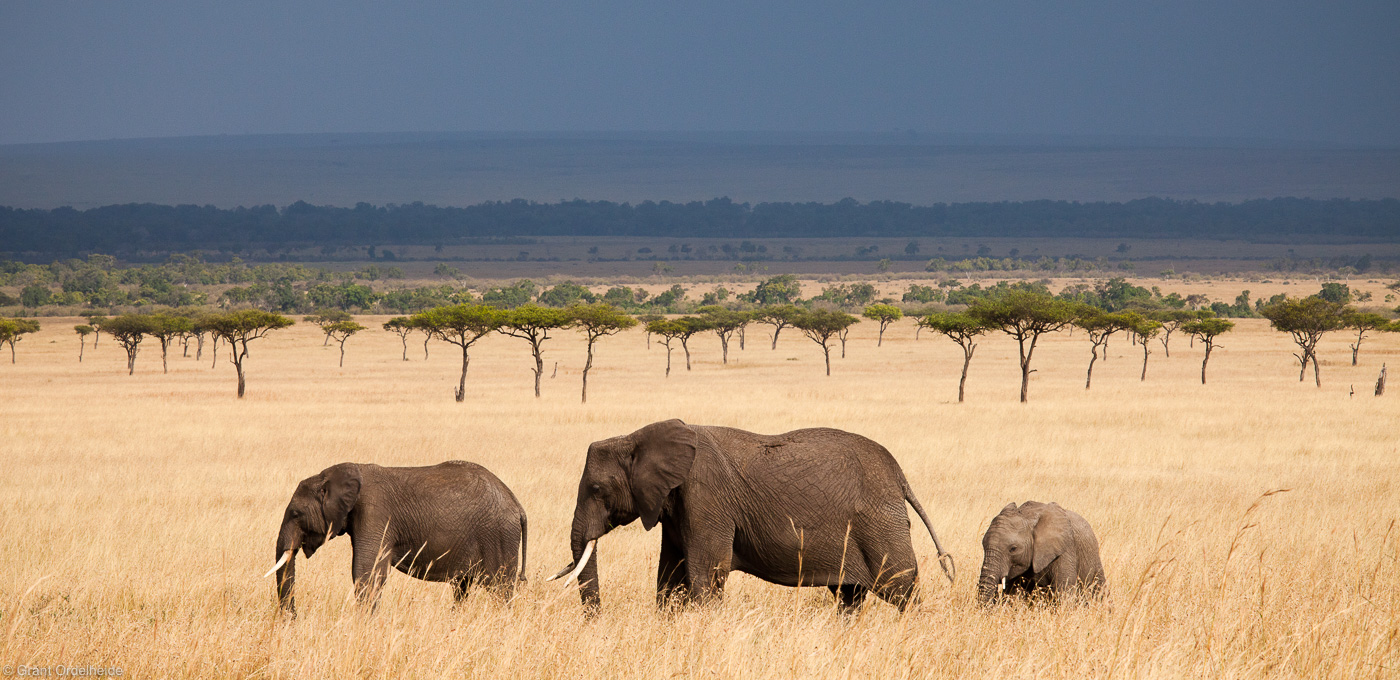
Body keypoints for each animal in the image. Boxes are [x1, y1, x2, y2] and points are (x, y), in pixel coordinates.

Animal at [263, 458, 526, 612]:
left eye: (295, 514)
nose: (293, 619)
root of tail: (517, 504)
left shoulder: (374, 513)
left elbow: (366, 571)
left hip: (499, 537)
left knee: (500, 590)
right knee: (462, 588)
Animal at [546, 419, 952, 610]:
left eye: (596, 490)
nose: (596, 621)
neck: (636, 437)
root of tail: (900, 476)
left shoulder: (705, 496)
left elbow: (705, 574)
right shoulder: (677, 506)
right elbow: (670, 577)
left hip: (879, 523)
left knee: (900, 587)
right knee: (850, 596)